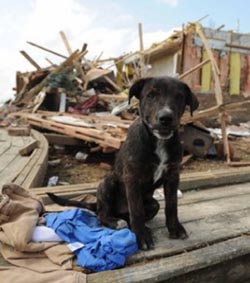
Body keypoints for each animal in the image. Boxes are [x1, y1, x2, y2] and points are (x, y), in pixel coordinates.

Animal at [47, 77, 198, 251]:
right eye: (151, 95)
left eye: (179, 97)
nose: (166, 118)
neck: (158, 141)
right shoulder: (132, 178)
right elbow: (137, 210)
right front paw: (141, 236)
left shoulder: (173, 175)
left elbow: (172, 205)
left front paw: (174, 229)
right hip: (107, 183)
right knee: (103, 214)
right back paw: (115, 222)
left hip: (153, 204)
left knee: (131, 214)